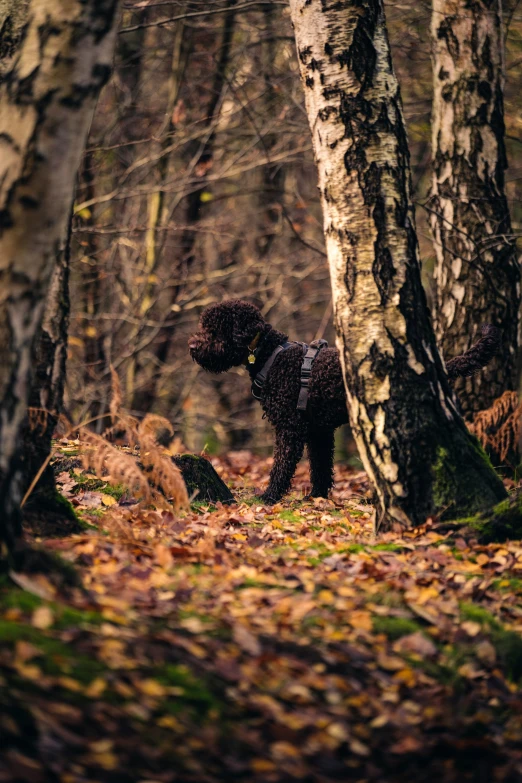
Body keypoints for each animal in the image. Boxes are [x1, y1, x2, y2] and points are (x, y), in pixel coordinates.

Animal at [189, 298, 498, 506]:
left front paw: (269, 496)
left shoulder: (290, 429)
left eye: (214, 330)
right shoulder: (319, 431)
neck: (272, 355)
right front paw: (317, 497)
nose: (192, 346)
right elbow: (321, 467)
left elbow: (282, 466)